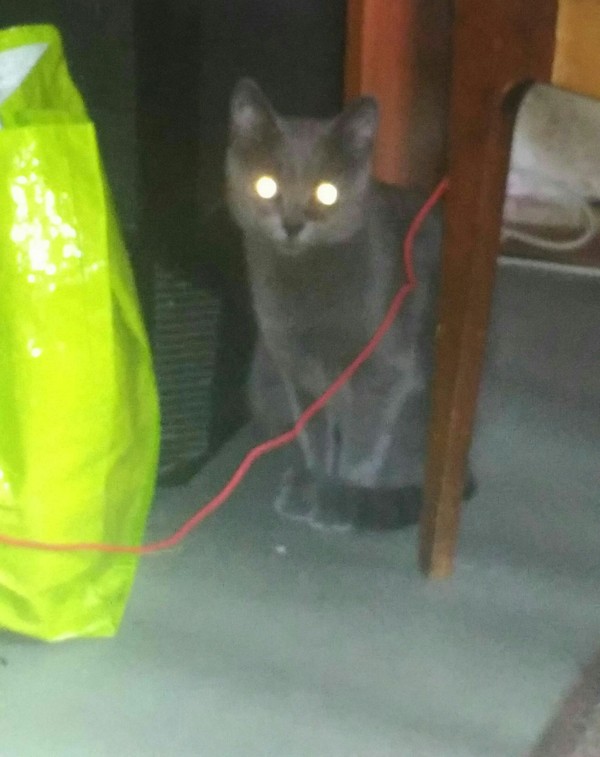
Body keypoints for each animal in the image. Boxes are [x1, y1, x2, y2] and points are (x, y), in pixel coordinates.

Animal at [226, 78, 470, 531]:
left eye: (326, 193)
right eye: (266, 185)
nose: (292, 224)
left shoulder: (383, 370)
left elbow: (363, 442)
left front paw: (342, 500)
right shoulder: (295, 367)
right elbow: (315, 434)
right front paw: (318, 484)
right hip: (263, 376)